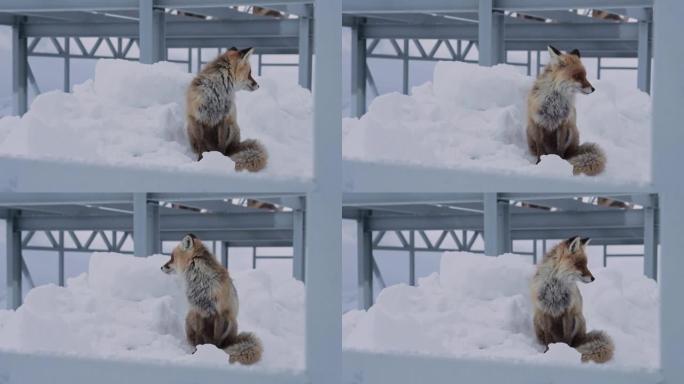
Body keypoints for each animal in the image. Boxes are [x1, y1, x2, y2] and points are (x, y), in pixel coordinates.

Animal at [162, 232, 264, 364]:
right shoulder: (198, 310)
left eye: (172, 258)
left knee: (224, 343)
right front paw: (197, 353)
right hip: (189, 318)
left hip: (231, 322)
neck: (201, 284)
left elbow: (216, 340)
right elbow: (199, 338)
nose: (161, 267)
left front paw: (213, 353)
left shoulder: (219, 313)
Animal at [528, 46, 604, 176]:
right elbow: (540, 149)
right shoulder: (538, 123)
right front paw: (538, 163)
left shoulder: (563, 124)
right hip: (529, 131)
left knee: (568, 153)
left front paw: (559, 163)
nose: (593, 89)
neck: (554, 102)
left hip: (571, 131)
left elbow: (560, 149)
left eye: (585, 76)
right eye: (577, 76)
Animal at [528, 236, 616, 364]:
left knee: (575, 342)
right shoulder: (545, 310)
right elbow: (548, 338)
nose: (593, 278)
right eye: (579, 264)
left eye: (586, 264)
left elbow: (567, 338)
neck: (555, 287)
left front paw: (566, 352)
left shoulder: (568, 311)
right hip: (537, 318)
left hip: (578, 318)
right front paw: (547, 352)